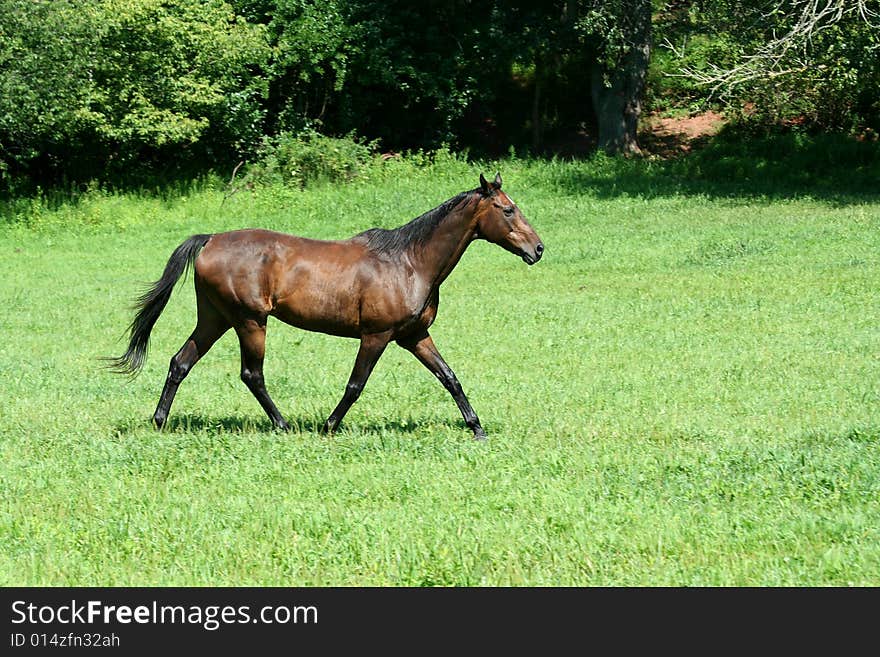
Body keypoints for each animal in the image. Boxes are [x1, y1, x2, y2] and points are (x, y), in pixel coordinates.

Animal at [110, 172, 544, 438]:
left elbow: (450, 377)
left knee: (180, 362)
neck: (408, 261)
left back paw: (160, 421)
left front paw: (477, 428)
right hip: (250, 321)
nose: (538, 249)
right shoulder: (376, 336)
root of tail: (211, 239)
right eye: (508, 209)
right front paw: (329, 426)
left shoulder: (415, 335)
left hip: (215, 319)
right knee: (252, 374)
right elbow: (355, 385)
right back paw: (283, 425)